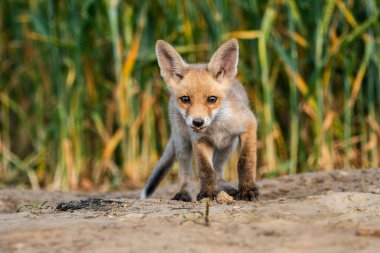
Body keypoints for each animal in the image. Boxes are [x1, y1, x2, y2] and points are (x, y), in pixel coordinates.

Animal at [141, 39, 260, 202]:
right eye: (185, 99)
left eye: (212, 99)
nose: (197, 122)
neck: (216, 128)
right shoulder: (198, 140)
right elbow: (205, 170)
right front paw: (208, 193)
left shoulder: (249, 125)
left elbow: (245, 162)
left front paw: (247, 190)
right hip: (182, 144)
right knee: (187, 173)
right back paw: (183, 193)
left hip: (227, 147)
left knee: (218, 173)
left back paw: (229, 190)